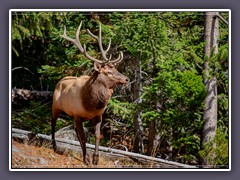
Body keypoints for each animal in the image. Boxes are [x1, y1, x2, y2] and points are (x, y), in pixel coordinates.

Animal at [51, 21, 129, 165]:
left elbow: (97, 136)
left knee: (76, 133)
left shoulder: (98, 115)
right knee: (53, 123)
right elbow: (84, 138)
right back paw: (54, 146)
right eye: (109, 72)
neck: (90, 104)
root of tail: (60, 80)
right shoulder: (77, 115)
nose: (126, 79)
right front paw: (86, 159)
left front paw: (95, 158)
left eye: (115, 69)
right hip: (55, 106)